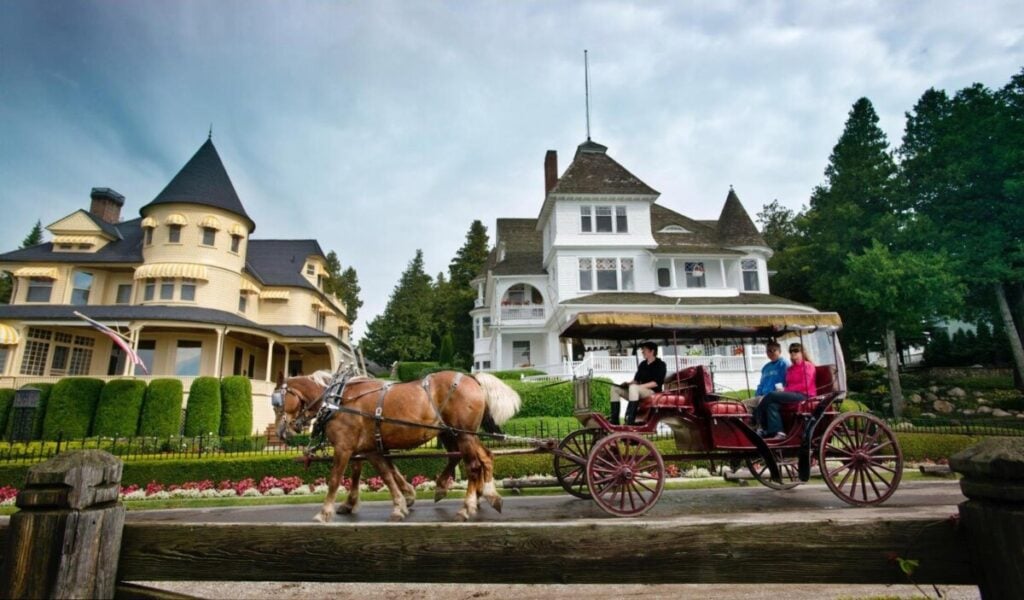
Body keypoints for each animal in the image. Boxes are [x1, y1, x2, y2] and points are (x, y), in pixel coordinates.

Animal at [274, 366, 520, 520]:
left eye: (277, 403)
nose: (281, 433)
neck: (337, 400)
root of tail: (472, 377)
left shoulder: (345, 447)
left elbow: (336, 478)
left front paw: (325, 512)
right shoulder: (372, 448)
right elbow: (387, 473)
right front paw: (402, 502)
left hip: (463, 434)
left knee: (473, 465)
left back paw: (466, 506)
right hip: (460, 434)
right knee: (484, 456)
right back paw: (486, 494)